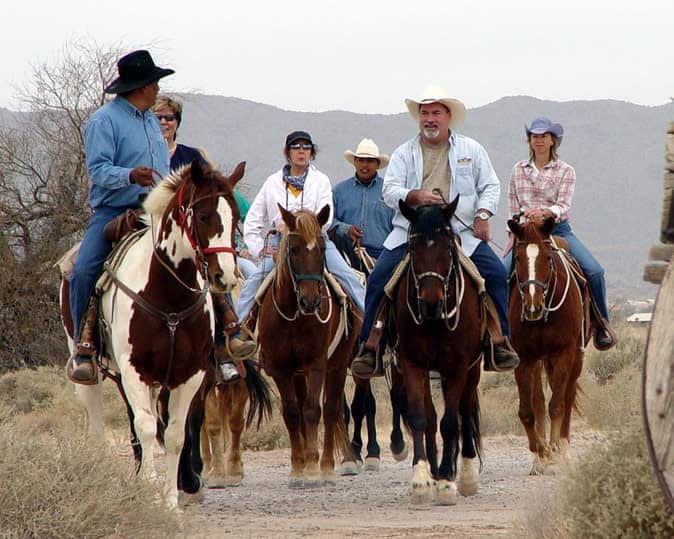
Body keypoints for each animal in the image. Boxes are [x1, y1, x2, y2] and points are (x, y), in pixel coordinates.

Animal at [59, 159, 240, 506]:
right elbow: (145, 427)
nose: (224, 276)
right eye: (204, 215)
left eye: (235, 217)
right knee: (100, 420)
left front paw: (171, 499)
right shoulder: (135, 370)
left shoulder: (190, 374)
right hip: (93, 370)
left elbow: (175, 434)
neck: (168, 296)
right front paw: (151, 491)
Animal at [258, 204, 360, 490]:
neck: (295, 317)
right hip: (298, 373)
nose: (311, 301)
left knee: (332, 409)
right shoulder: (281, 369)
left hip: (337, 366)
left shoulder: (316, 364)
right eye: (294, 249)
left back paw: (327, 467)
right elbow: (293, 413)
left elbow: (314, 410)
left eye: (322, 249)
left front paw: (313, 468)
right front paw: (298, 468)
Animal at [394, 199, 484, 506]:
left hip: (472, 370)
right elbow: (421, 417)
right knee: (433, 417)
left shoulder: (457, 366)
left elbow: (450, 422)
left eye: (447, 246)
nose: (431, 302)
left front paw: (447, 481)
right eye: (412, 246)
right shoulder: (412, 363)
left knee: (465, 414)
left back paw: (465, 476)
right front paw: (422, 479)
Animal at [504, 217, 588, 474]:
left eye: (548, 258)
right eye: (518, 258)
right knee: (539, 400)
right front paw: (540, 451)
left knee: (567, 397)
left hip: (576, 357)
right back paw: (541, 458)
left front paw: (554, 451)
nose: (533, 306)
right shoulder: (524, 358)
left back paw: (563, 450)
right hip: (540, 360)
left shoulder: (564, 354)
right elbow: (527, 411)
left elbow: (557, 405)